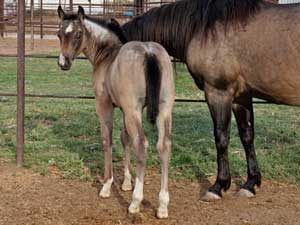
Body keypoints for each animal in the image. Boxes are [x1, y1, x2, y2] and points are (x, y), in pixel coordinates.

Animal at [56, 5, 176, 218]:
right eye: (59, 34)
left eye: (78, 34)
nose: (64, 63)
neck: (106, 55)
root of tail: (148, 52)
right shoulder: (124, 110)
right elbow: (125, 139)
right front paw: (127, 182)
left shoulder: (105, 105)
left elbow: (107, 140)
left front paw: (107, 185)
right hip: (163, 110)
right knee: (164, 146)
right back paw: (162, 205)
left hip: (134, 111)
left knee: (142, 144)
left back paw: (135, 202)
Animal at [122, 0, 300, 200]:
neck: (202, 27)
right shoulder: (241, 97)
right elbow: (247, 136)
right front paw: (250, 183)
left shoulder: (218, 92)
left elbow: (221, 137)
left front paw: (218, 186)